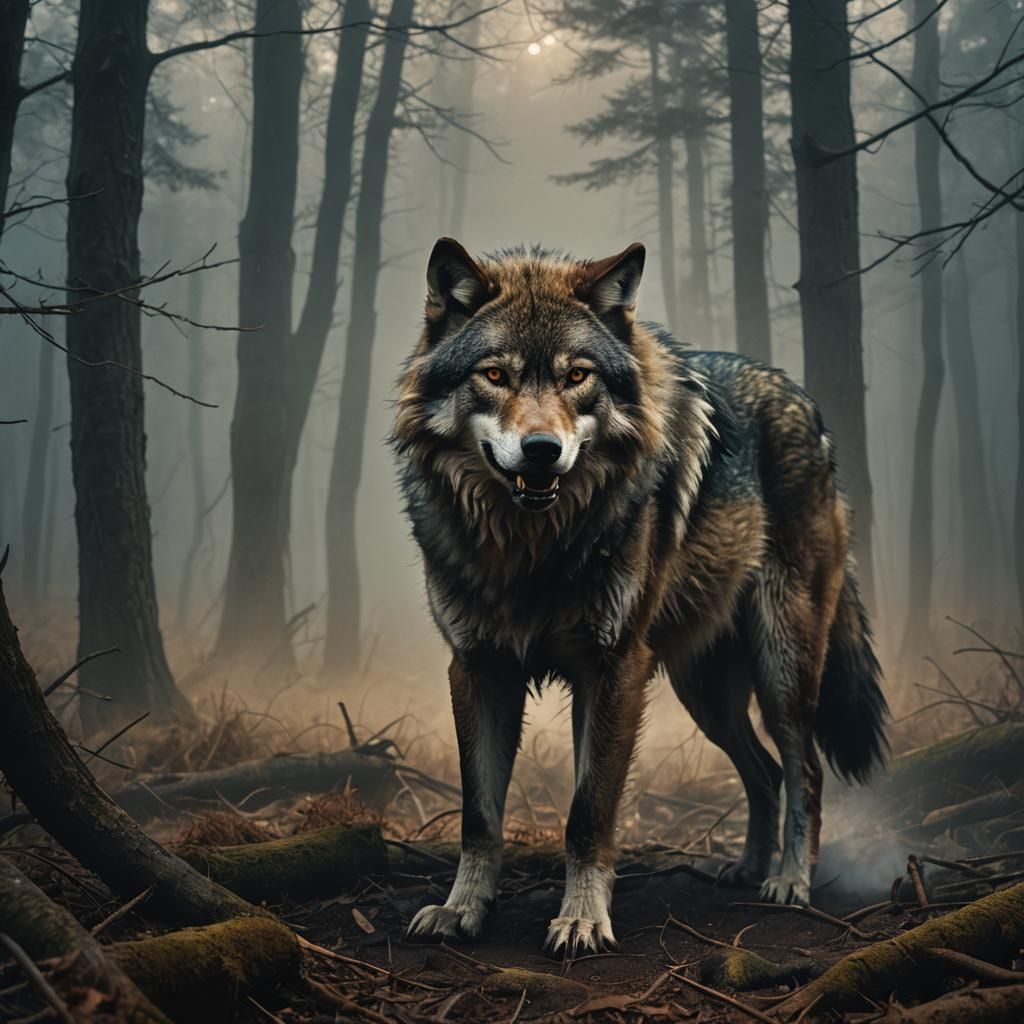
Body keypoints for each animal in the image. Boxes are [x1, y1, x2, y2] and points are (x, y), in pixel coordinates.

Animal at [392, 238, 887, 955]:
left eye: (577, 376)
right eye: (494, 375)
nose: (542, 451)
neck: (530, 550)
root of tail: (801, 399)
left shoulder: (613, 669)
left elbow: (588, 811)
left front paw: (580, 919)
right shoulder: (478, 668)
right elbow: (479, 814)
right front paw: (463, 911)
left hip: (781, 668)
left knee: (805, 770)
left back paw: (790, 880)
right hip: (702, 692)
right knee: (763, 772)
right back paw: (745, 868)